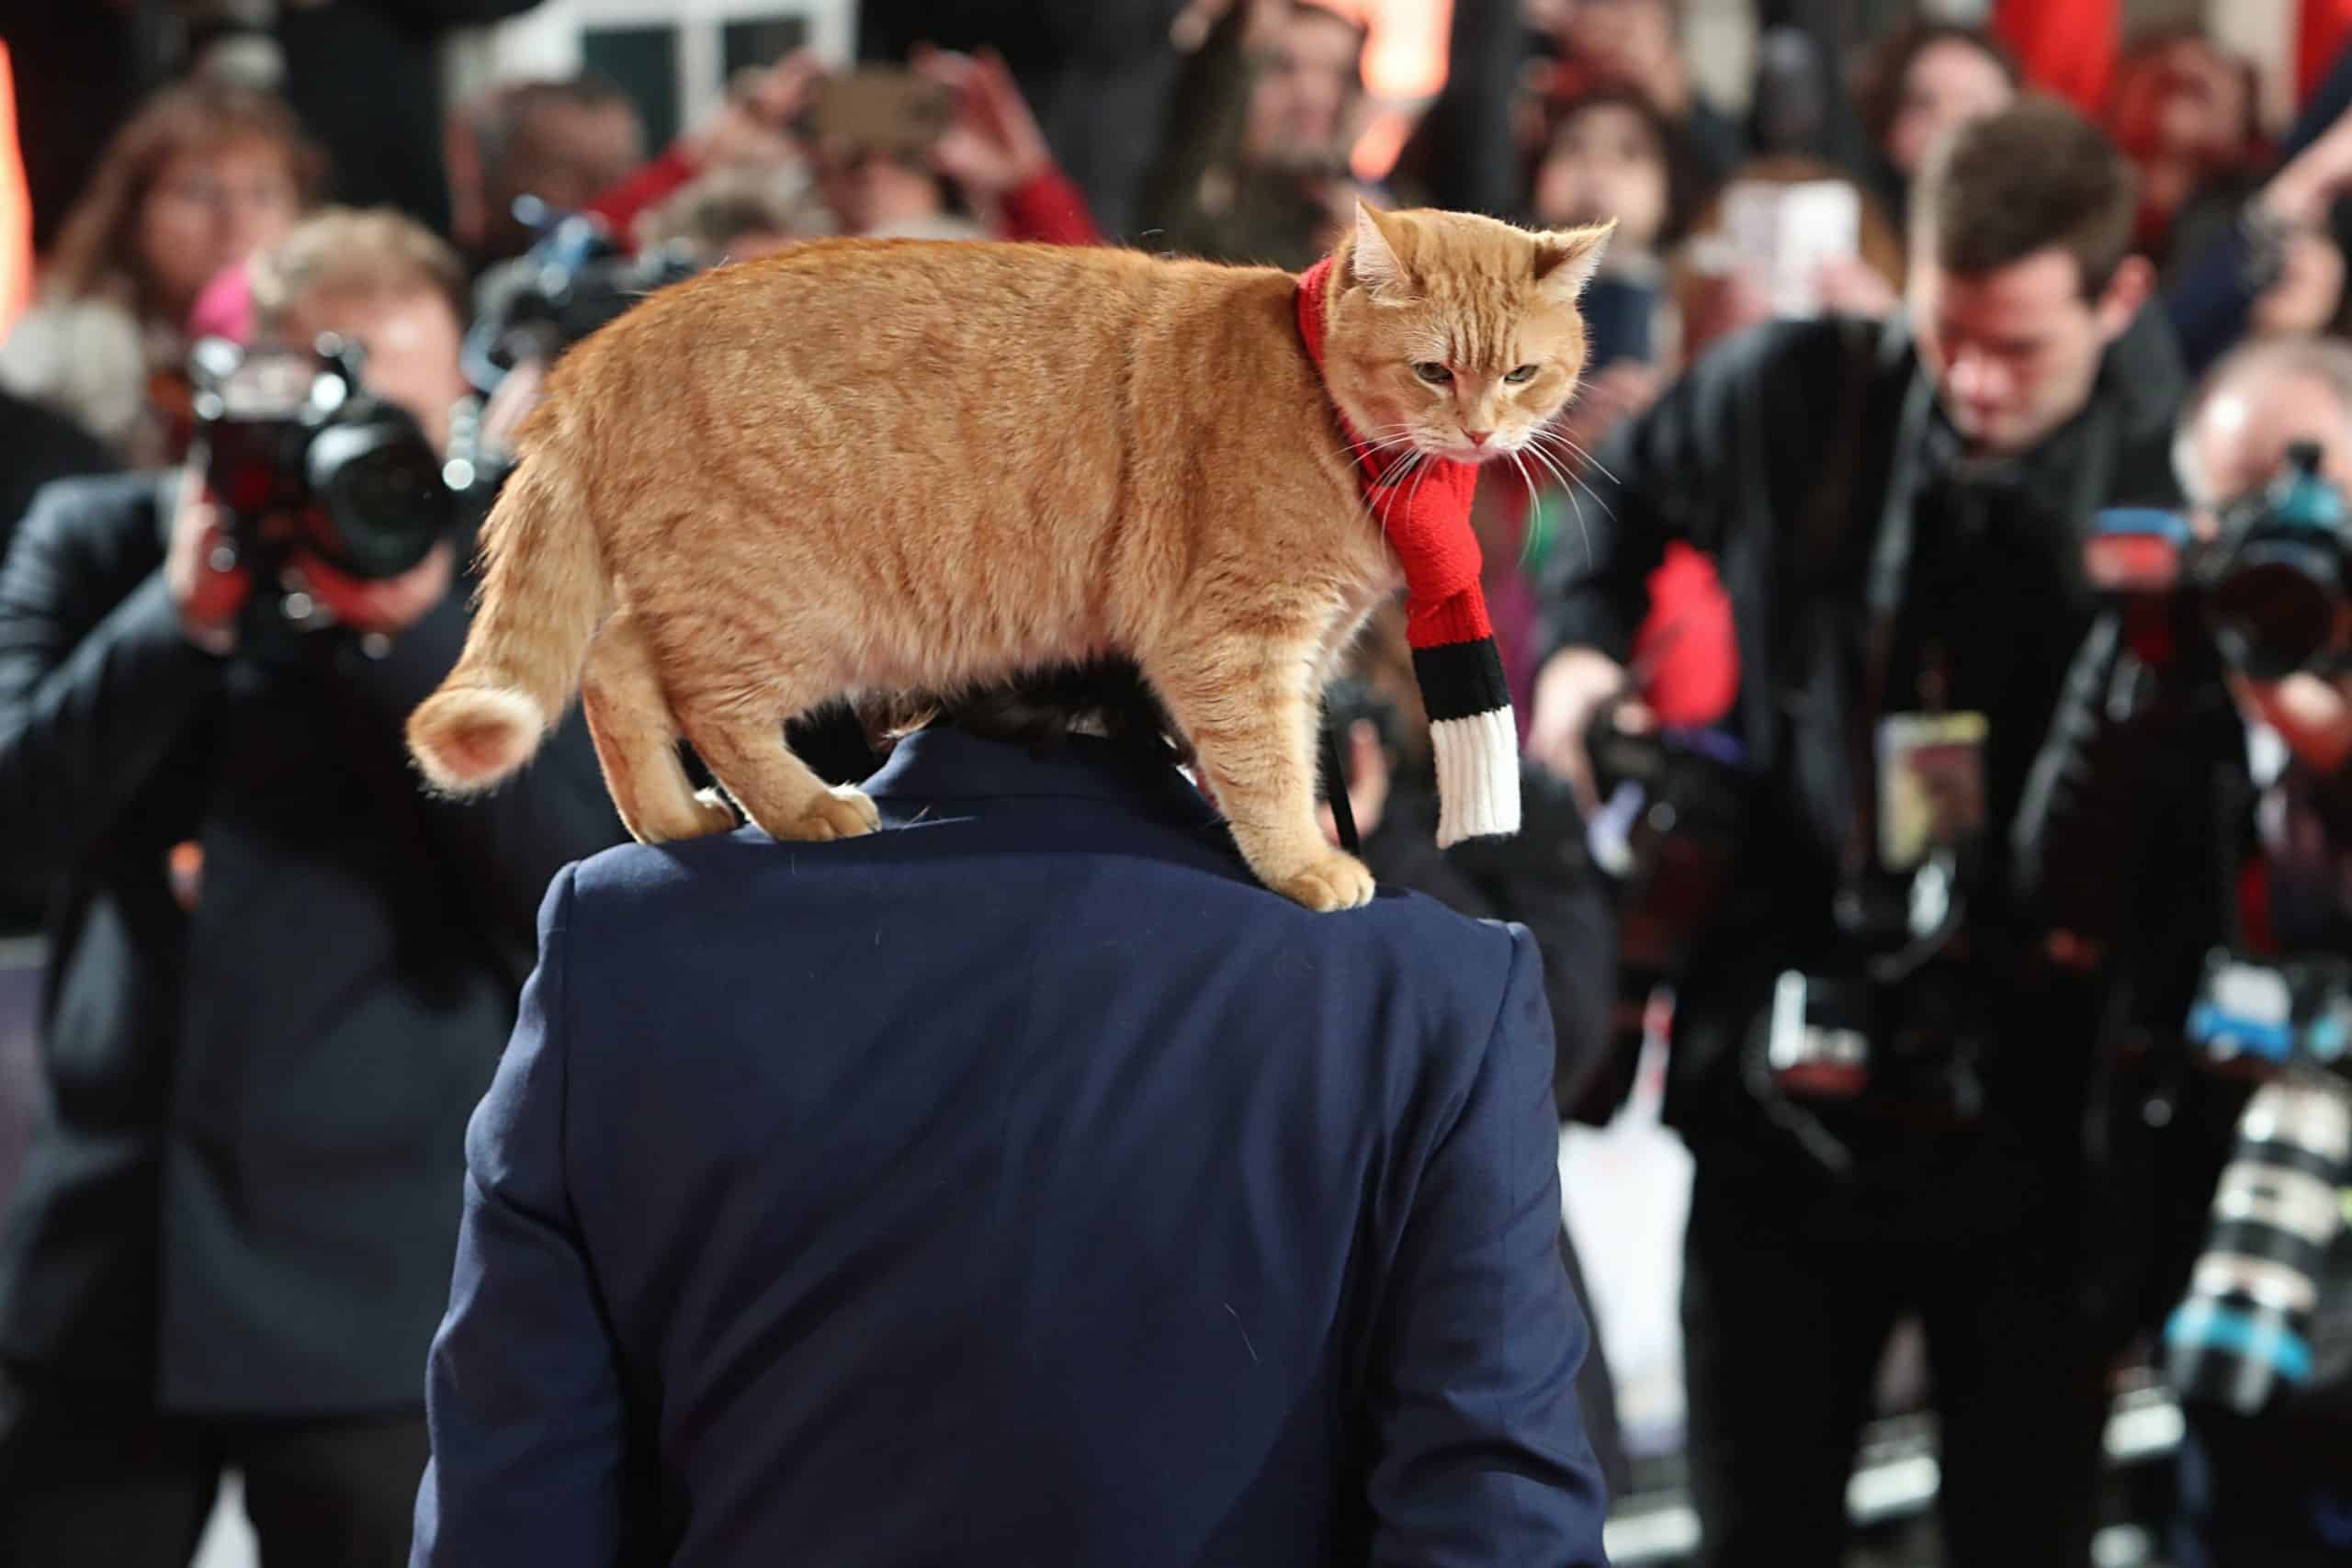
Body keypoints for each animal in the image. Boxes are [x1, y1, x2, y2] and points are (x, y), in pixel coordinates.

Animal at [409, 204, 1618, 911]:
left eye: (1520, 374)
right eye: (1431, 371)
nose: (1481, 435)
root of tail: (600, 348)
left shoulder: (1305, 652)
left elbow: (1268, 756)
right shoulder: (1238, 641)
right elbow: (1267, 771)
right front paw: (1307, 864)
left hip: (682, 596)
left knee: (614, 674)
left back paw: (668, 817)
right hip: (778, 611)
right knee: (709, 706)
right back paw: (804, 807)